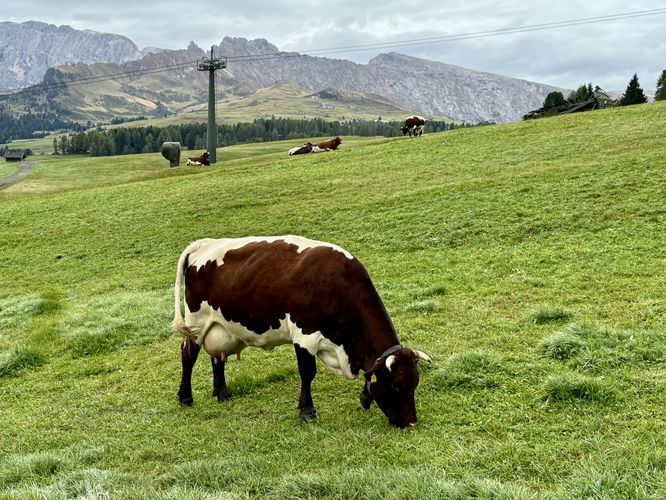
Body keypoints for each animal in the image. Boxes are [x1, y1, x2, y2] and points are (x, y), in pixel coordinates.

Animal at [173, 236, 431, 427]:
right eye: (397, 385)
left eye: (415, 383)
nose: (411, 422)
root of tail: (204, 244)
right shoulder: (305, 335)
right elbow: (307, 373)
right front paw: (307, 410)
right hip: (196, 323)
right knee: (188, 356)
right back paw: (186, 397)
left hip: (221, 327)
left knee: (218, 357)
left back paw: (222, 393)